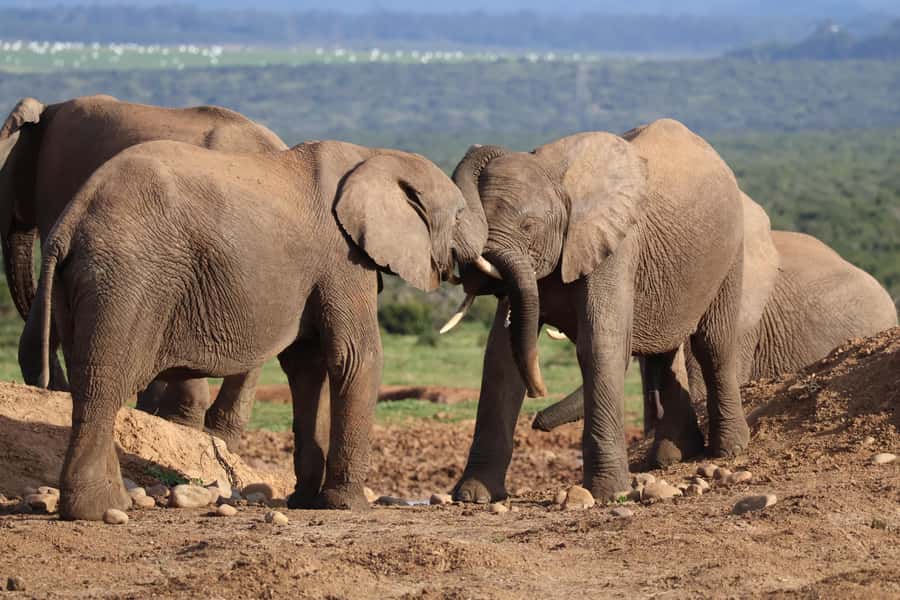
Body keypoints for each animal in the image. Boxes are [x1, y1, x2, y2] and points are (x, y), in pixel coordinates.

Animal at [35, 138, 486, 520]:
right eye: (460, 214)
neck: (373, 155)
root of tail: (71, 218)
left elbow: (307, 365)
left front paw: (306, 502)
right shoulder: (343, 259)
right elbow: (356, 358)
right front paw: (348, 506)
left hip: (85, 283)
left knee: (89, 384)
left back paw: (113, 503)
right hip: (128, 279)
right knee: (104, 385)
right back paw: (99, 511)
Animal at [442, 119, 751, 502]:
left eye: (529, 227)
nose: (538, 406)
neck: (553, 173)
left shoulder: (615, 242)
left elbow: (599, 345)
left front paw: (608, 493)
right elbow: (501, 356)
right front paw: (473, 496)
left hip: (730, 248)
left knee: (713, 344)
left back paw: (729, 450)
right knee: (659, 354)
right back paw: (673, 457)